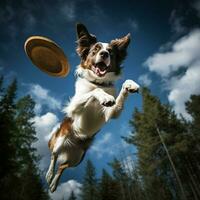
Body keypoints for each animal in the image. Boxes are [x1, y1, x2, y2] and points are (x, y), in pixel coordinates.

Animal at [45, 23, 139, 192]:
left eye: (110, 52)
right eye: (96, 49)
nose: (104, 54)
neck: (98, 81)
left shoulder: (110, 113)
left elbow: (119, 94)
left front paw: (130, 85)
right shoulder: (73, 106)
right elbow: (95, 92)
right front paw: (105, 97)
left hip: (78, 158)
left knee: (63, 166)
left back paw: (54, 184)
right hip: (61, 138)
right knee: (54, 155)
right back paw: (49, 175)